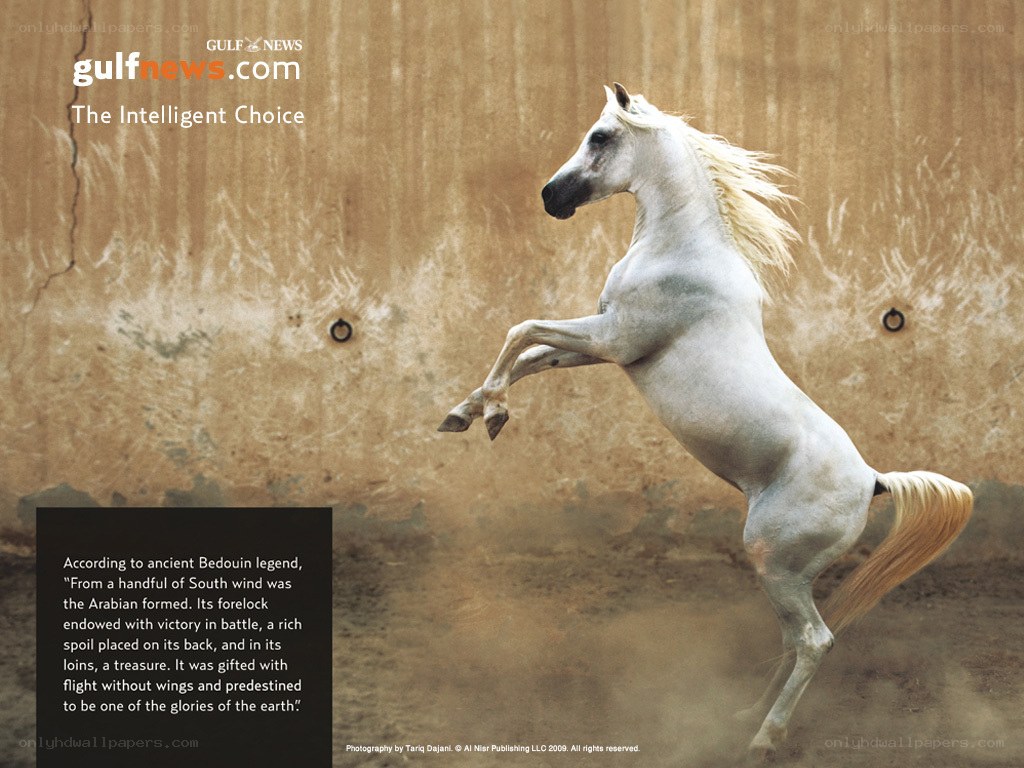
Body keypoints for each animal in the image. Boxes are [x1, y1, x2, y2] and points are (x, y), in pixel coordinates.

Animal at [438, 83, 972, 760]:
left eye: (600, 137)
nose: (550, 197)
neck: (681, 251)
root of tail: (874, 480)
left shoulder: (613, 339)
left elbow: (521, 330)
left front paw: (486, 413)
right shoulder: (606, 346)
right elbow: (530, 356)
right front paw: (471, 413)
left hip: (775, 561)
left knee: (815, 641)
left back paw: (763, 740)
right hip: (788, 575)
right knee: (795, 641)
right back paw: (746, 714)